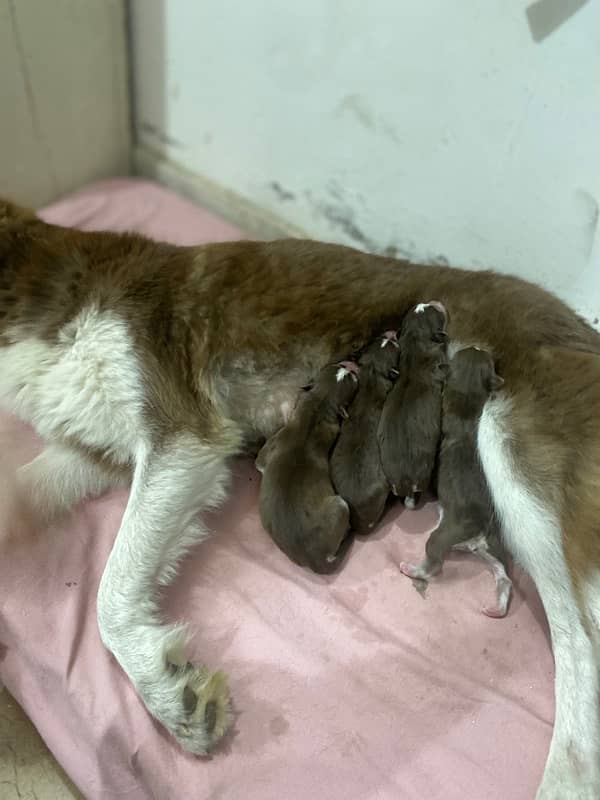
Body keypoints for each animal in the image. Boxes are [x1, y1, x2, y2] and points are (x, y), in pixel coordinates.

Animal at [255, 362, 358, 576]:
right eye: (339, 366)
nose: (350, 366)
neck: (318, 405)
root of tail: (314, 560)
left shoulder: (267, 450)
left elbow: (259, 464)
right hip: (340, 505)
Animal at [398, 346, 510, 620]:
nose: (478, 345)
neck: (466, 406)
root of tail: (479, 532)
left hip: (442, 536)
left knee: (434, 566)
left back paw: (412, 569)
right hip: (492, 549)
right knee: (504, 577)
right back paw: (496, 608)